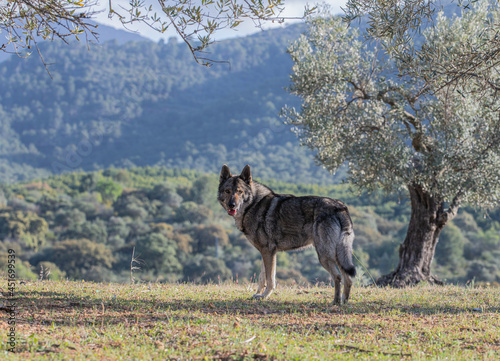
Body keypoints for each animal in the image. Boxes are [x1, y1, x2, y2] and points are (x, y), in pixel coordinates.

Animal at [218, 164, 356, 304]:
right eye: (228, 191)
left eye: (240, 192)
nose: (232, 205)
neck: (253, 205)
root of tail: (340, 207)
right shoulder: (265, 252)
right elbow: (262, 278)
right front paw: (258, 294)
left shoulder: (268, 252)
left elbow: (270, 280)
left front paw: (264, 296)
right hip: (339, 256)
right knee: (348, 279)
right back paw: (344, 301)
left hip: (324, 256)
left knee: (338, 277)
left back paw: (336, 302)